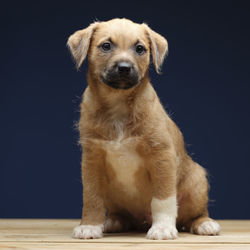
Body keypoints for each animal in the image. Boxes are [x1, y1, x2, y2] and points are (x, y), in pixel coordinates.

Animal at [67, 18, 221, 239]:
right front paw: (90, 225)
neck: (118, 105)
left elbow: (163, 198)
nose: (124, 67)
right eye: (106, 46)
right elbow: (92, 196)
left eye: (140, 49)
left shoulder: (161, 155)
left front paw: (163, 227)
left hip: (197, 181)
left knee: (194, 214)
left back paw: (204, 224)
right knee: (121, 214)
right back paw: (113, 221)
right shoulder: (91, 158)